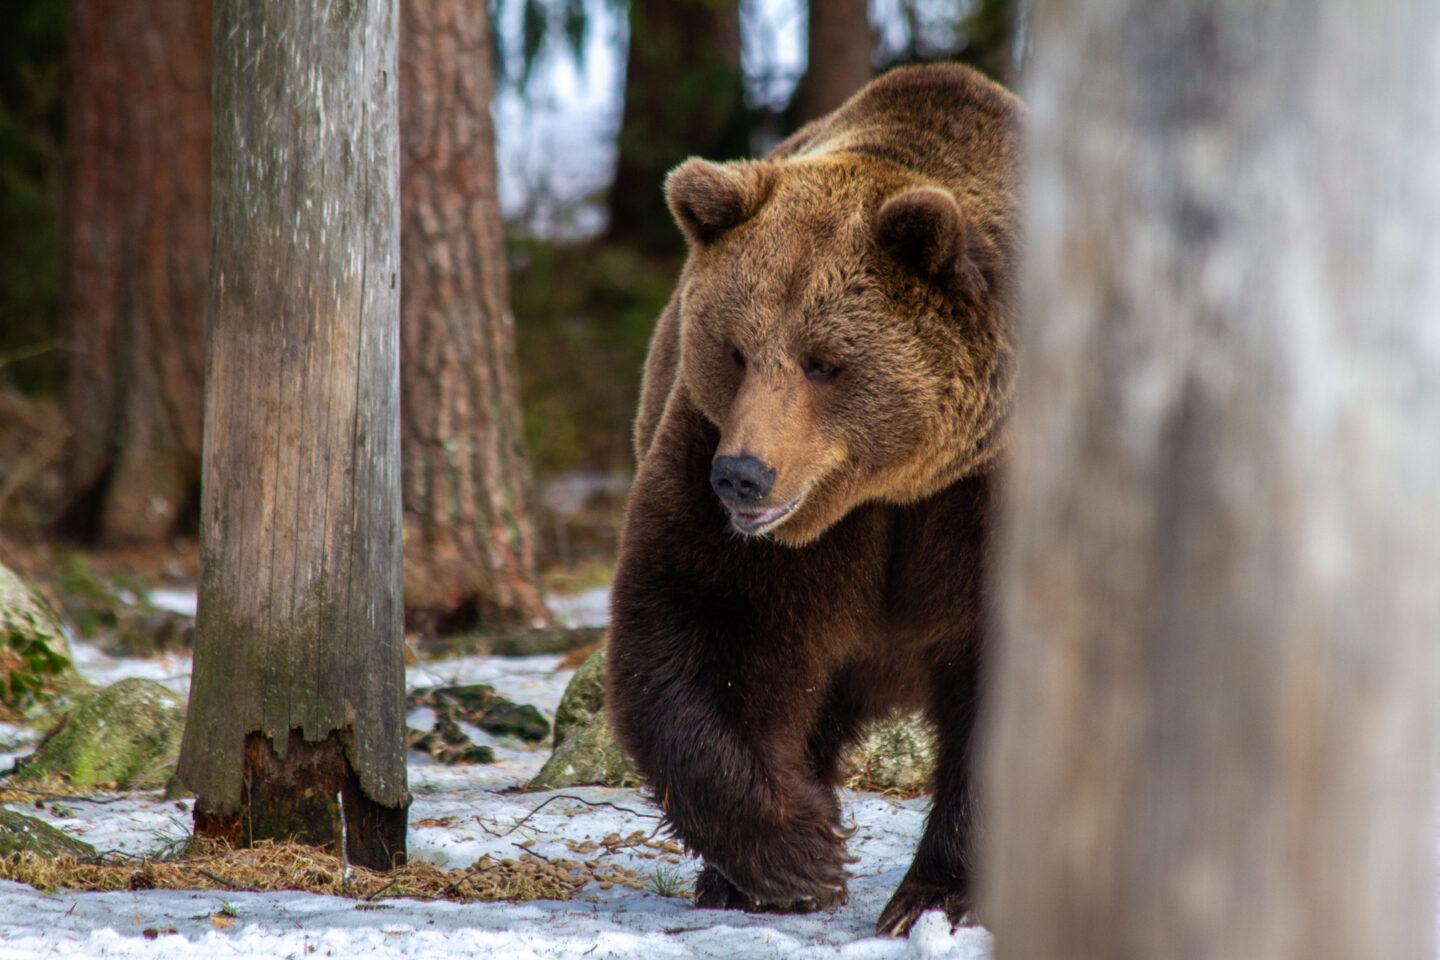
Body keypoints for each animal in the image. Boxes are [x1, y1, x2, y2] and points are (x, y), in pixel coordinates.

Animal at [606, 63, 1023, 936]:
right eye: (734, 349)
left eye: (824, 361)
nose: (743, 476)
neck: (899, 482)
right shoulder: (731, 475)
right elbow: (709, 628)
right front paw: (800, 852)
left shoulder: (980, 495)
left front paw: (936, 896)